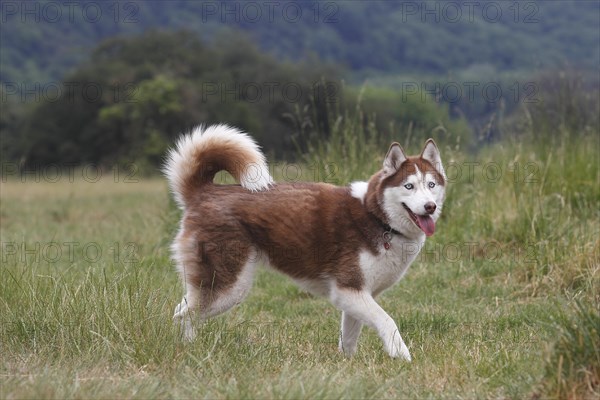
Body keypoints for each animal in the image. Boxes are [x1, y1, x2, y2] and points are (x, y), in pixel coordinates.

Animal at [164, 124, 446, 360]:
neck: (378, 218)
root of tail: (205, 191)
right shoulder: (347, 289)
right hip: (229, 286)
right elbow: (388, 321)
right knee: (183, 315)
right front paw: (401, 355)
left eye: (431, 184)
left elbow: (349, 338)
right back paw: (188, 351)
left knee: (183, 310)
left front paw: (348, 364)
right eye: (409, 186)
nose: (429, 207)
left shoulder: (356, 295)